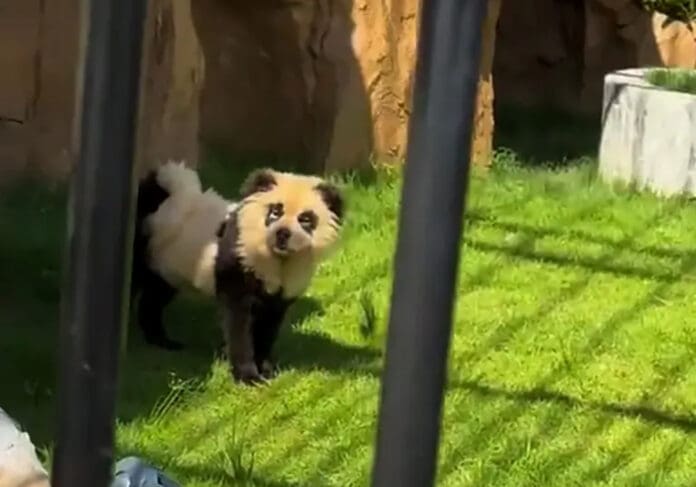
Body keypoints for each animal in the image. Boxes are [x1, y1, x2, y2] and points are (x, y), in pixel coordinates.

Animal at [131, 161, 345, 385]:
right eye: (275, 212)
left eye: (305, 219)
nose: (282, 234)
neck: (276, 259)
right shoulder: (237, 267)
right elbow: (239, 325)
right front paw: (248, 377)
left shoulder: (280, 294)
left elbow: (268, 326)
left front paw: (266, 370)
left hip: (168, 266)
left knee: (154, 299)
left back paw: (162, 340)